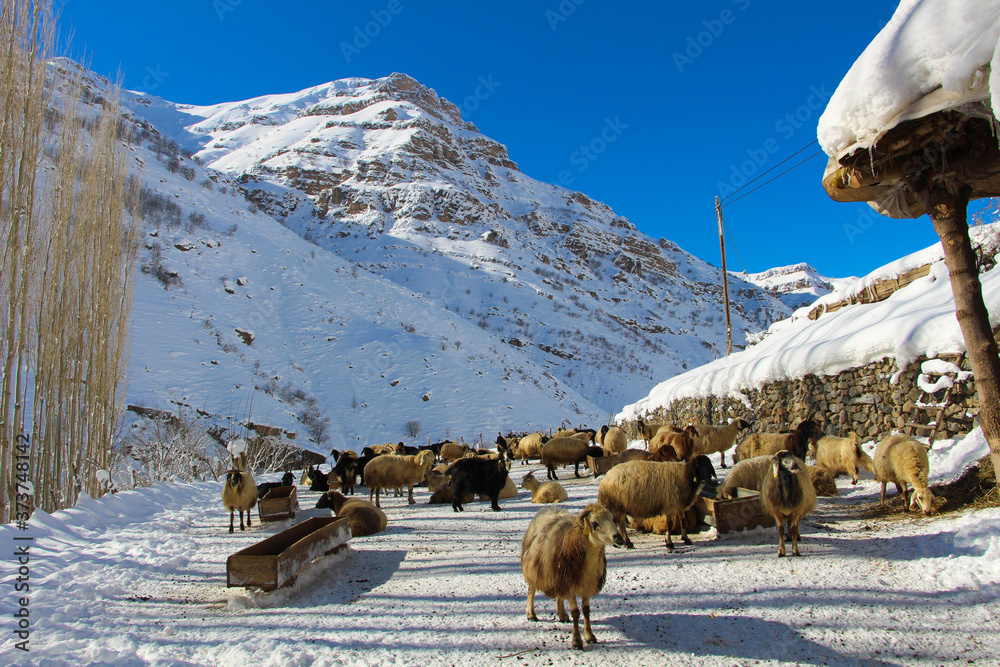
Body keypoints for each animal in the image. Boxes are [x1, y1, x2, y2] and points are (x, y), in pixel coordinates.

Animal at [520, 503, 625, 650]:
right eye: (595, 523)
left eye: (611, 518)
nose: (619, 538)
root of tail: (550, 508)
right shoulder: (569, 586)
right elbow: (575, 612)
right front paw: (577, 641)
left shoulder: (586, 585)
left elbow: (586, 611)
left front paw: (590, 636)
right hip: (535, 569)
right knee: (531, 590)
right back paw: (531, 614)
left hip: (557, 574)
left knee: (559, 595)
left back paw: (562, 614)